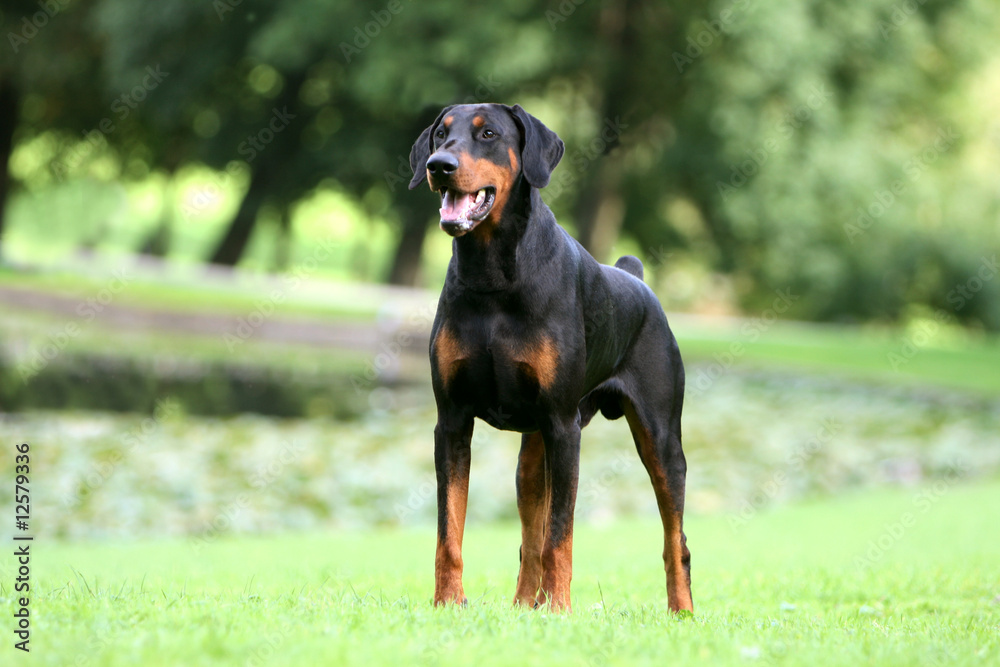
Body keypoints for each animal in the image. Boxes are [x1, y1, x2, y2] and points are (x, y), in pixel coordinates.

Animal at [410, 102, 692, 612]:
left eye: (488, 134)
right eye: (440, 134)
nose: (439, 166)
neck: (492, 278)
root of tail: (637, 280)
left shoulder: (563, 426)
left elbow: (561, 534)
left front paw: (560, 609)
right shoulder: (452, 422)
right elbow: (450, 530)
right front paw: (448, 602)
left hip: (660, 441)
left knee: (673, 538)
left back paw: (681, 612)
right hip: (532, 451)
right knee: (530, 534)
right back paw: (526, 604)